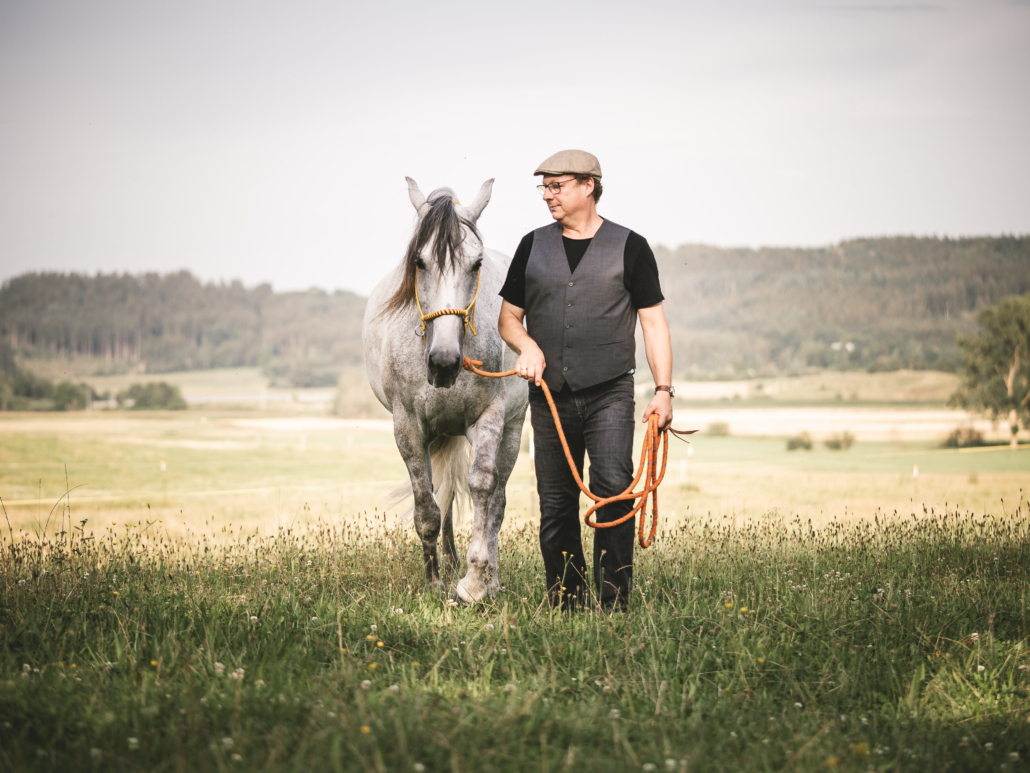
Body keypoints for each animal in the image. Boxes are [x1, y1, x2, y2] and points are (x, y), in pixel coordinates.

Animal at [362, 178, 527, 601]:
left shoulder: (490, 417)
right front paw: (434, 583)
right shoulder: (408, 427)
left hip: (513, 429)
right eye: (419, 262)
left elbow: (483, 487)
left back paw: (490, 579)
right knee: (444, 497)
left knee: (496, 501)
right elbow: (427, 508)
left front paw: (475, 580)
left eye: (477, 263)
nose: (444, 362)